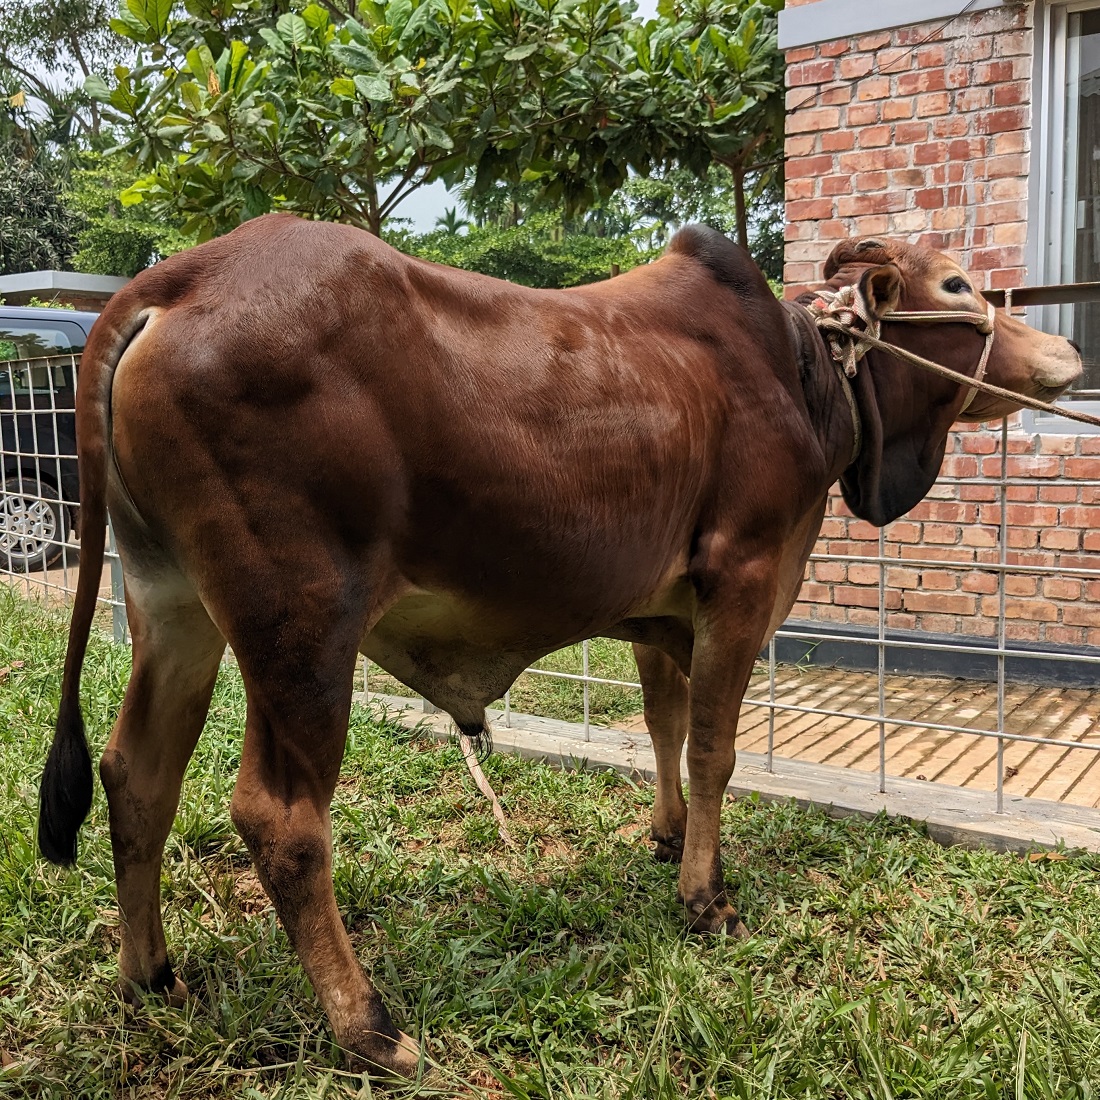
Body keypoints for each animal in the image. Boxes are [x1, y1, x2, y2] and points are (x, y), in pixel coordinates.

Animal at [38, 218, 1078, 1078]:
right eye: (955, 285)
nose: (1067, 349)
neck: (802, 374)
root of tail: (171, 282)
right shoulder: (742, 578)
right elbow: (714, 748)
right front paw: (707, 897)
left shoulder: (665, 613)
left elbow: (665, 729)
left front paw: (666, 840)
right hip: (302, 628)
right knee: (280, 820)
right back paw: (369, 1027)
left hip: (173, 603)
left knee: (136, 775)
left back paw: (151, 975)